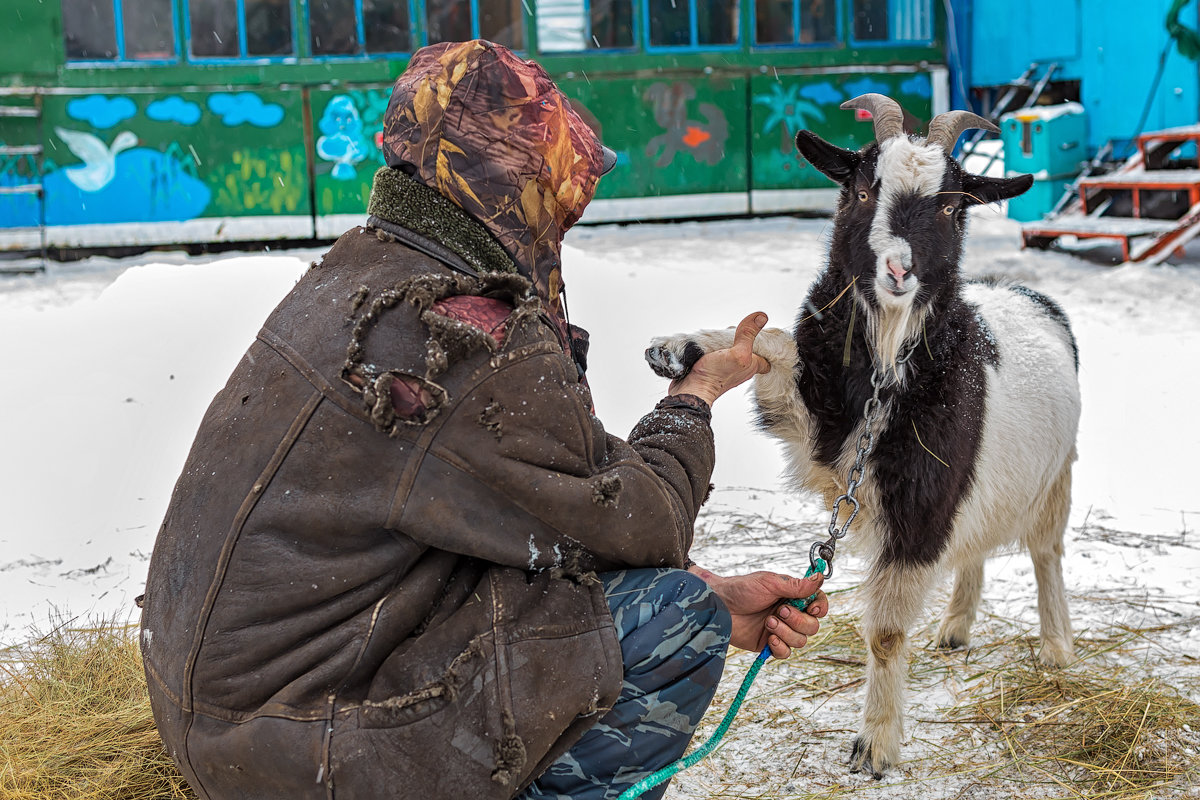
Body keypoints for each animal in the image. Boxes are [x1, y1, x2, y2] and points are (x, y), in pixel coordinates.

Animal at [652, 92, 1084, 777]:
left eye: (950, 204)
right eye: (859, 190)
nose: (898, 267)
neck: (886, 367)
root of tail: (1027, 295)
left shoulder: (923, 508)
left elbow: (884, 633)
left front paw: (876, 745)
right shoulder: (818, 425)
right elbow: (772, 342)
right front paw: (682, 347)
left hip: (1055, 476)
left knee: (1047, 555)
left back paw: (1057, 647)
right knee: (977, 547)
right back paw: (956, 628)